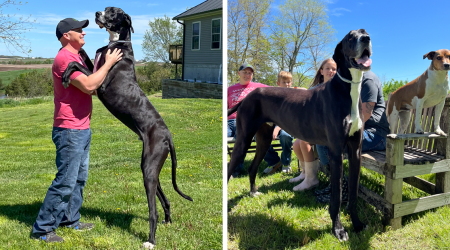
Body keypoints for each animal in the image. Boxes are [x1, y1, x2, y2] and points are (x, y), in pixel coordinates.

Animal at [61, 6, 192, 249]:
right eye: (106, 9)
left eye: (113, 12)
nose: (97, 13)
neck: (116, 43)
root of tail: (168, 135)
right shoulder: (95, 69)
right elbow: (83, 58)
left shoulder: (100, 84)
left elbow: (77, 64)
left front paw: (66, 74)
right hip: (150, 166)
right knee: (164, 197)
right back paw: (168, 219)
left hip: (149, 168)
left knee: (153, 212)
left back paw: (150, 240)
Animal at [229, 28, 372, 241]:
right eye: (350, 37)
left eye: (364, 32)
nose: (366, 39)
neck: (348, 89)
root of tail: (247, 97)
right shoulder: (336, 152)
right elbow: (337, 197)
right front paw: (338, 229)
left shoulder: (355, 151)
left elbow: (353, 194)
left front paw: (357, 224)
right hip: (243, 140)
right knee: (230, 167)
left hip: (263, 141)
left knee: (252, 167)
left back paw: (253, 192)